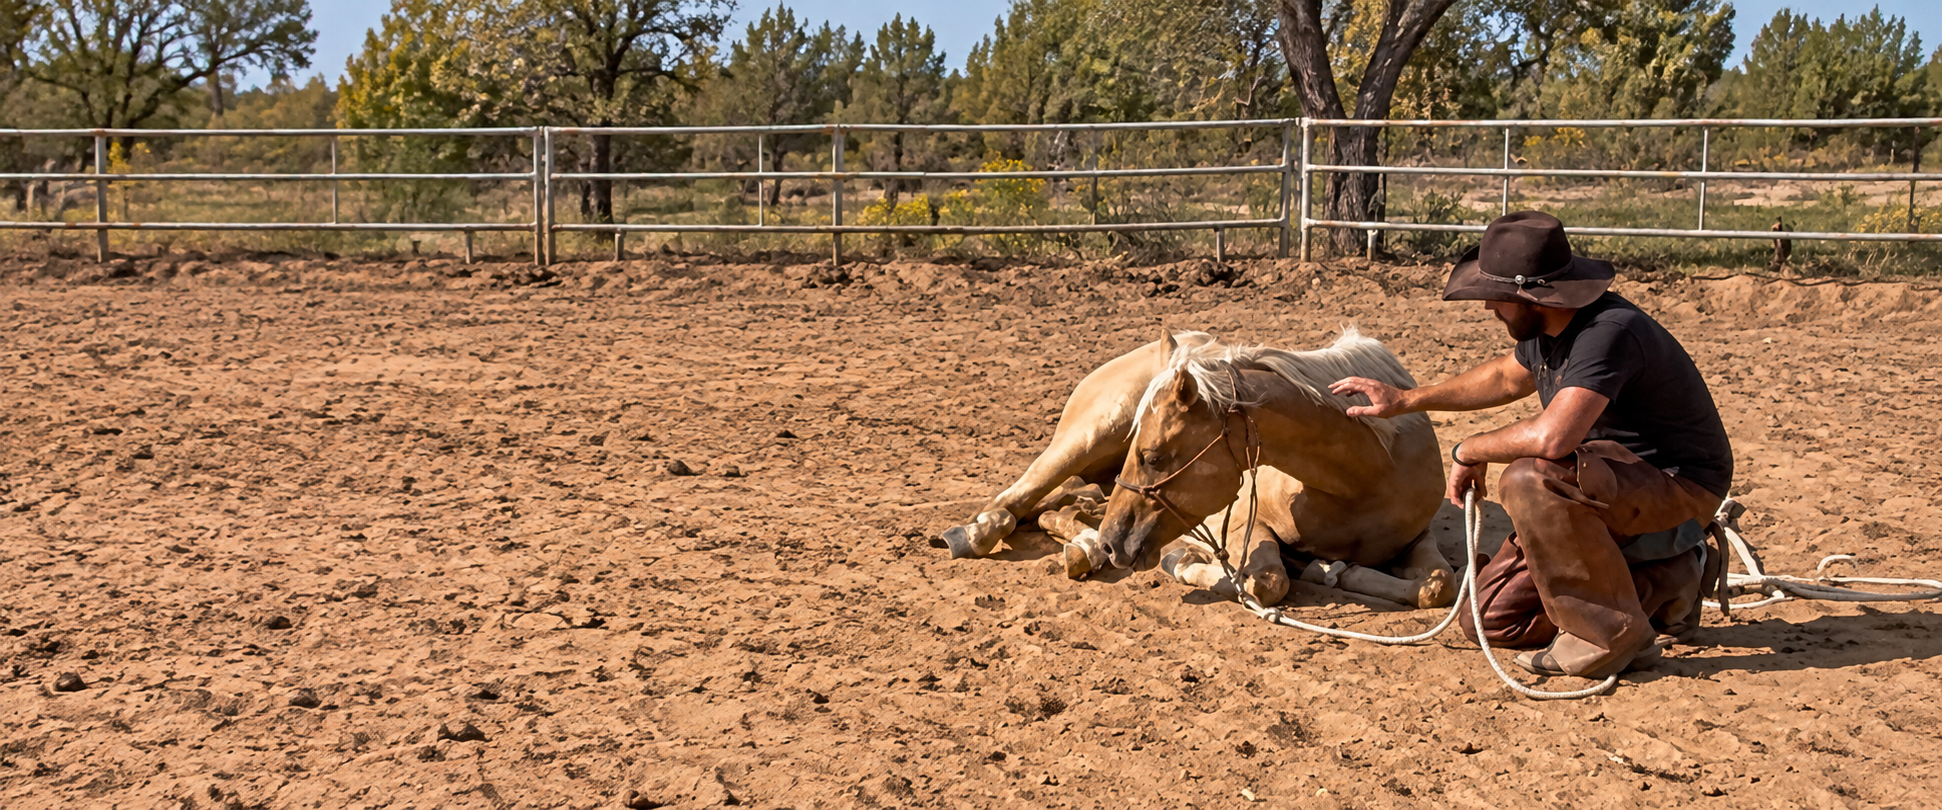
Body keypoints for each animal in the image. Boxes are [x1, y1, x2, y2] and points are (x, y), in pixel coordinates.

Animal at [942, 329, 1456, 609]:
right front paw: (1186, 562)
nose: (1113, 543)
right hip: (1089, 437)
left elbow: (1439, 586)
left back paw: (1083, 543)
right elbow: (1267, 582)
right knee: (1020, 496)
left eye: (1152, 457)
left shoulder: (1417, 539)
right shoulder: (1249, 524)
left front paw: (1334, 571)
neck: (1362, 479)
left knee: (1069, 501)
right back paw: (982, 533)